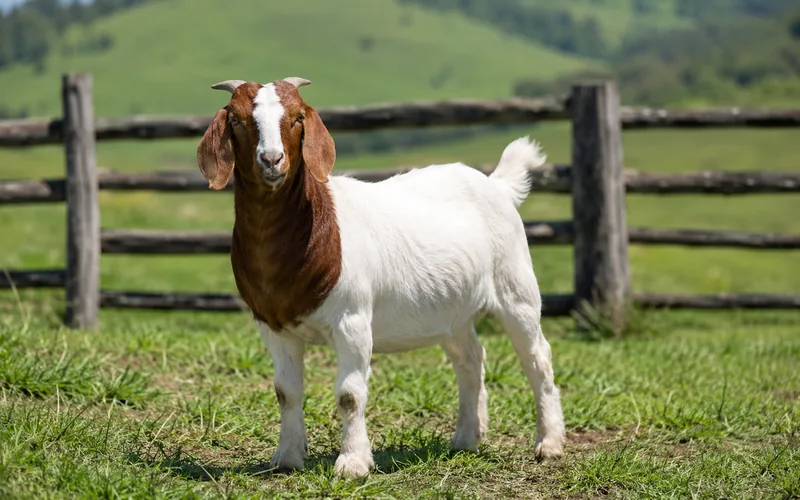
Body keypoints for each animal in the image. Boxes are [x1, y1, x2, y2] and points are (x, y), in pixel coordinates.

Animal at [196, 77, 566, 478]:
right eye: (235, 119)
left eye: (297, 118)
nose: (272, 160)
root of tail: (496, 185)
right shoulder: (272, 325)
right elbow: (285, 392)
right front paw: (287, 458)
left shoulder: (352, 319)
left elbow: (349, 394)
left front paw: (352, 463)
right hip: (453, 308)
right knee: (469, 357)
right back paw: (466, 438)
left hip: (516, 286)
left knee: (538, 358)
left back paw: (549, 444)